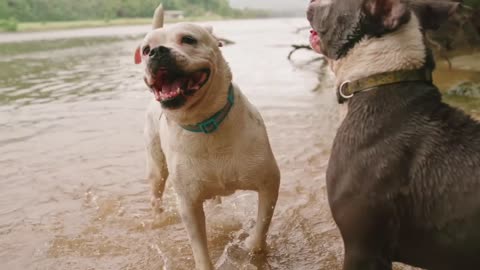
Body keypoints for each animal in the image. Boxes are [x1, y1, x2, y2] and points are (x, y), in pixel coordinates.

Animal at [133, 4, 280, 270]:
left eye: (188, 39)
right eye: (146, 49)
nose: (157, 52)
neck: (204, 123)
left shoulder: (269, 182)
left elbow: (262, 224)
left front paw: (252, 249)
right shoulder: (189, 205)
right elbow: (199, 247)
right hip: (157, 168)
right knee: (156, 193)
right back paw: (158, 218)